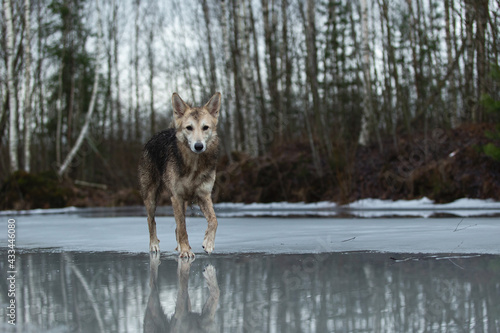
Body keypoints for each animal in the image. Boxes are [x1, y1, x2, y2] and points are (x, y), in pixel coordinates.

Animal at [139, 92, 221, 258]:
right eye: (189, 128)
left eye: (205, 128)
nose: (198, 146)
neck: (194, 164)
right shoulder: (176, 196)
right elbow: (182, 227)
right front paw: (185, 251)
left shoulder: (203, 195)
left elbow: (214, 220)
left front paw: (208, 243)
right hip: (151, 197)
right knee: (151, 220)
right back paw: (154, 245)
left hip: (183, 202)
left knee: (177, 225)